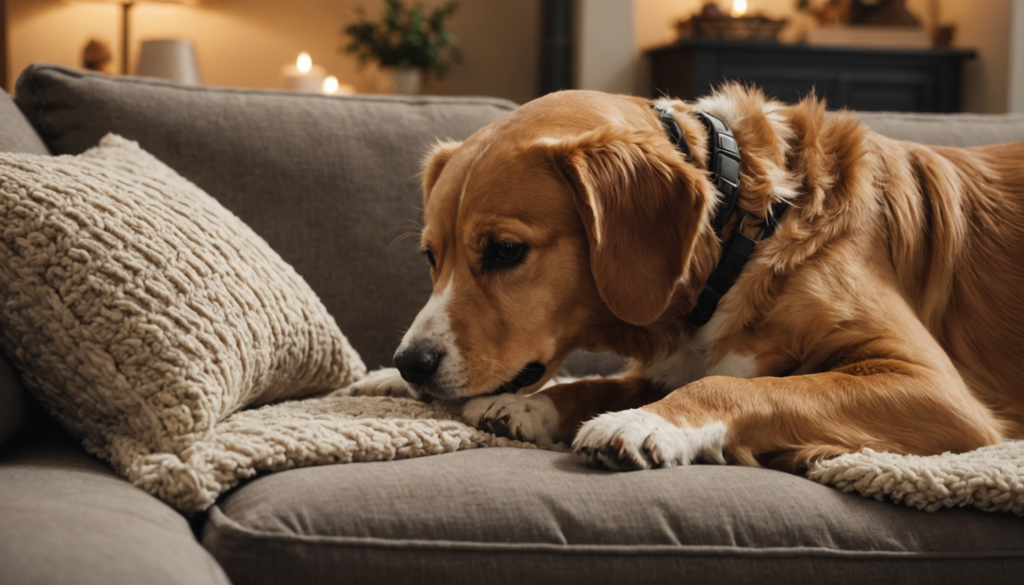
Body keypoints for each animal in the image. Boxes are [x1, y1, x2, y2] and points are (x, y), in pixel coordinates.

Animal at [352, 84, 1024, 473]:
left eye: (505, 251)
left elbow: (744, 386)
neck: (745, 230)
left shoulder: (938, 391)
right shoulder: (663, 358)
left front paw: (647, 422)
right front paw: (530, 407)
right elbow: (599, 383)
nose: (411, 362)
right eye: (430, 258)